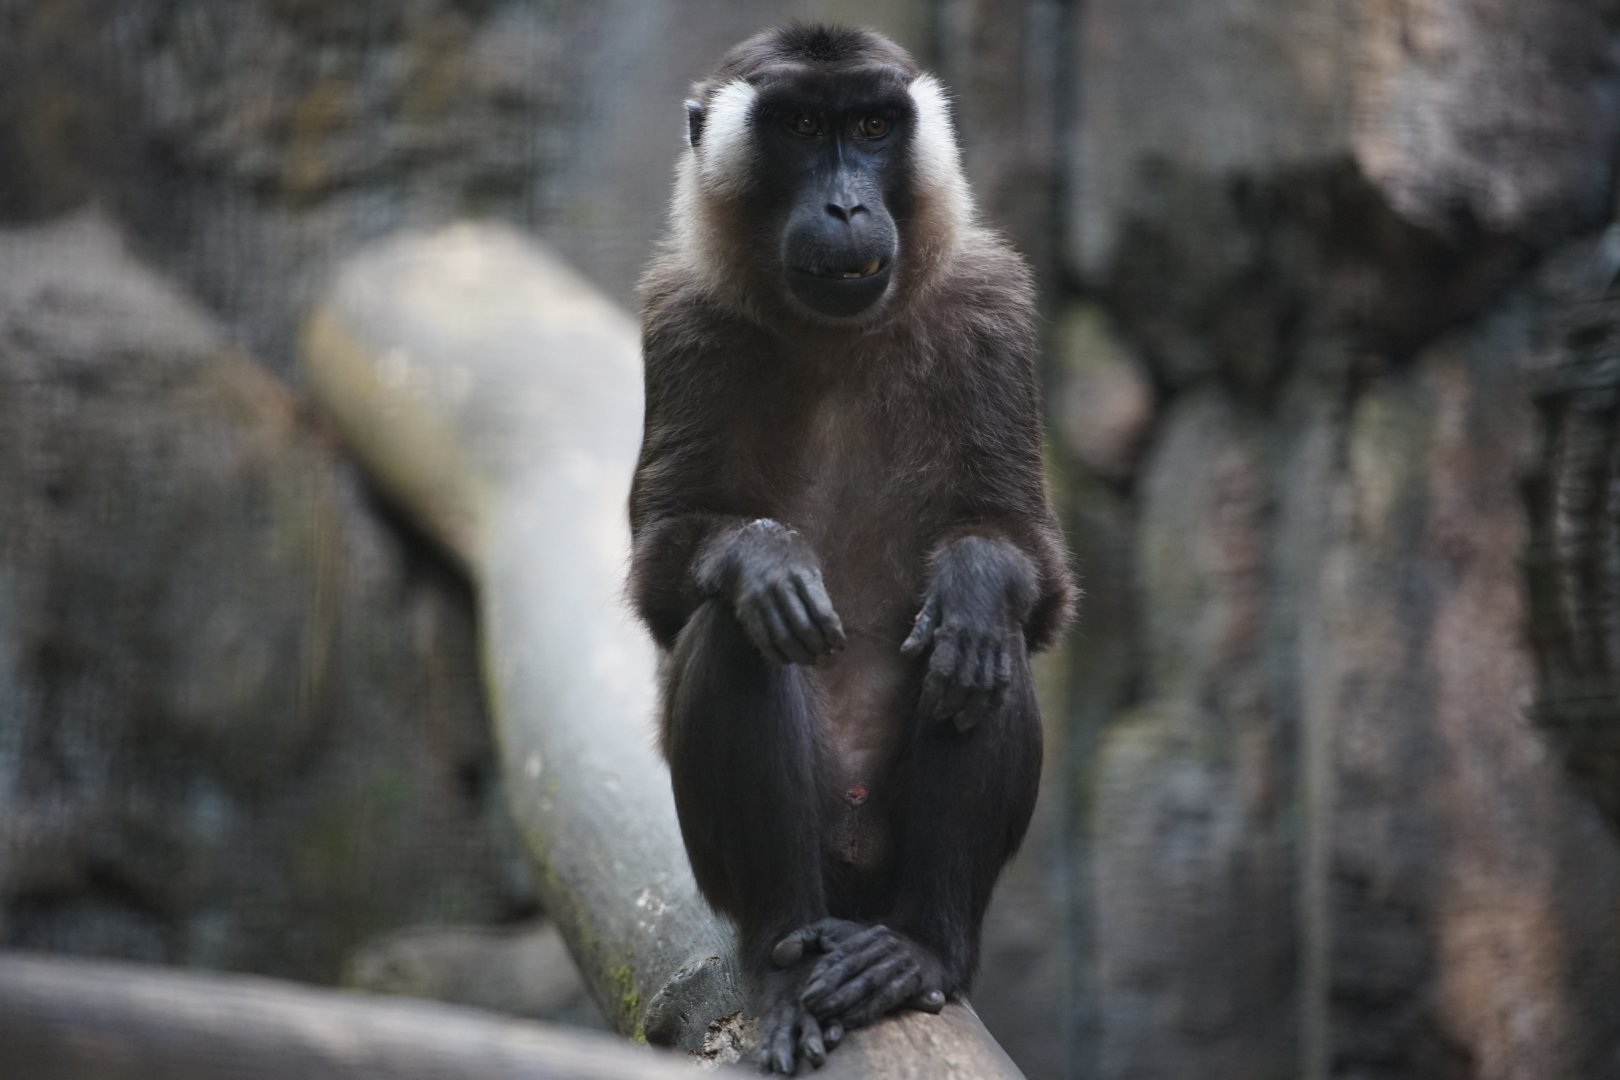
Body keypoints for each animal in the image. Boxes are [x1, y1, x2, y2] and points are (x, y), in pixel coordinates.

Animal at [629, 23, 1074, 1073]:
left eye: (872, 128)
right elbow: (667, 572)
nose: (845, 202)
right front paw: (761, 562)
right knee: (737, 634)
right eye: (800, 128)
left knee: (980, 652)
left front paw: (977, 579)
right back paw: (785, 957)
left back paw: (922, 949)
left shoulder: (991, 305)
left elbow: (1031, 577)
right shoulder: (680, 316)